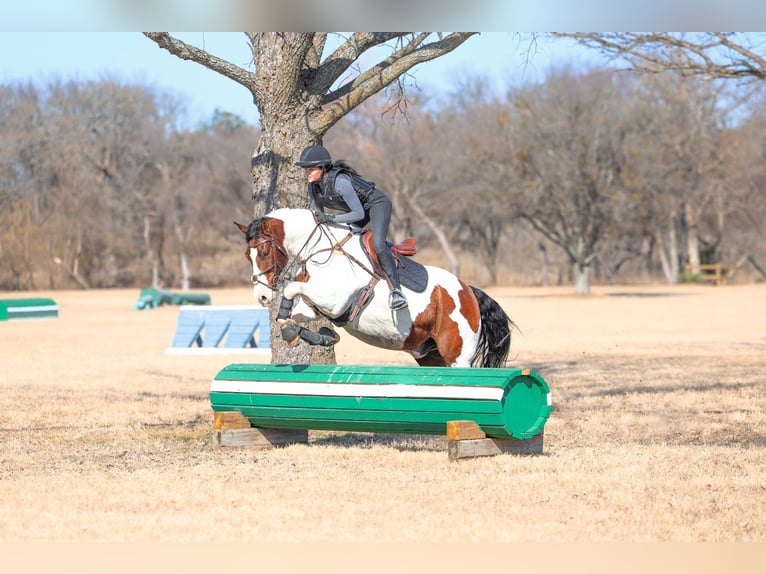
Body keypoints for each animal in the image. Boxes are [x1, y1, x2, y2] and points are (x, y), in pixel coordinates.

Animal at [235, 208, 515, 368]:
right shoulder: (319, 305)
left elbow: (291, 288)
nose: (261, 296)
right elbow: (299, 309)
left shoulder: (335, 301)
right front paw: (313, 334)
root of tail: (469, 292)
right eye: (247, 256)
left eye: (264, 252)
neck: (322, 249)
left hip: (457, 355)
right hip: (427, 354)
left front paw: (299, 331)